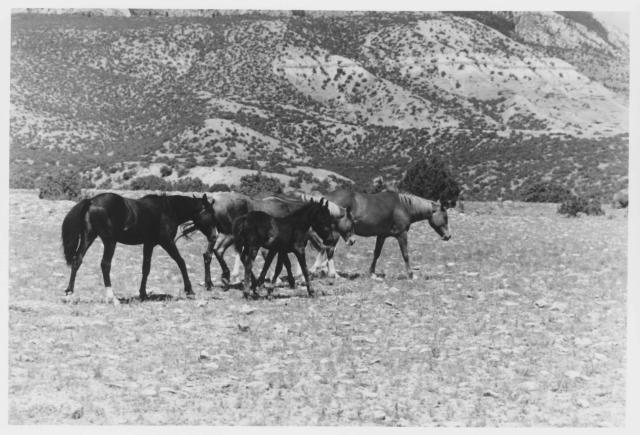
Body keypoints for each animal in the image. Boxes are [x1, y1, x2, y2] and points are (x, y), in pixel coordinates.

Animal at [61, 193, 216, 304]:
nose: (214, 236)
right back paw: (112, 297)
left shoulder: (148, 244)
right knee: (105, 264)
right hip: (110, 242)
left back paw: (69, 293)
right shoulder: (167, 242)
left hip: (88, 237)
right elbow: (181, 261)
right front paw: (189, 291)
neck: (167, 209)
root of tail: (91, 201)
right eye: (210, 213)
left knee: (77, 261)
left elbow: (146, 268)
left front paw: (143, 294)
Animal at [309, 189, 451, 279]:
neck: (404, 206)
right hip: (335, 234)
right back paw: (332, 274)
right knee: (328, 250)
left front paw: (371, 273)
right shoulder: (402, 234)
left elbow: (376, 254)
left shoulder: (382, 236)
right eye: (445, 217)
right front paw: (411, 274)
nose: (448, 236)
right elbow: (405, 254)